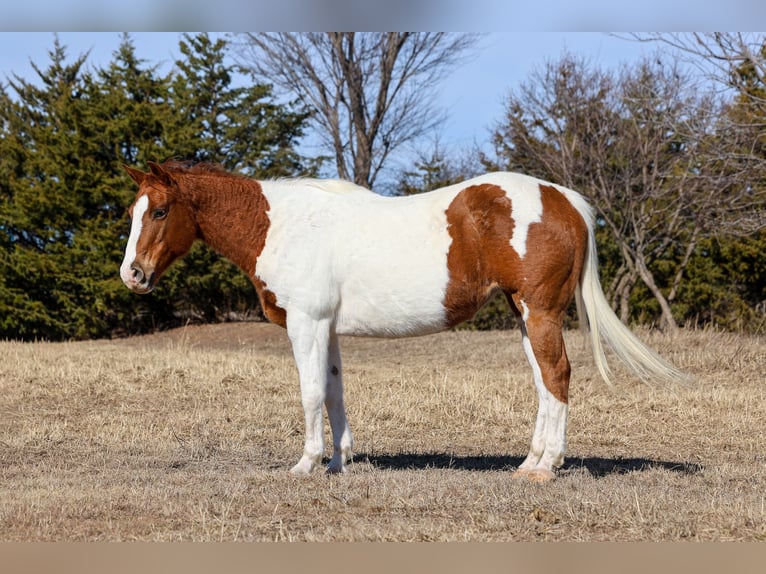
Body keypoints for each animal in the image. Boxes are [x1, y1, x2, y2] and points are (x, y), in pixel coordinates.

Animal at [120, 160, 685, 481]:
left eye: (160, 211)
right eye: (133, 211)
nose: (133, 274)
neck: (281, 226)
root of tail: (563, 199)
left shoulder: (306, 323)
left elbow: (309, 392)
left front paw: (305, 464)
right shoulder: (327, 328)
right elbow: (334, 391)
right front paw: (338, 462)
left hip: (540, 311)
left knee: (557, 375)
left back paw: (548, 467)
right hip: (523, 314)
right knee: (543, 381)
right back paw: (531, 461)